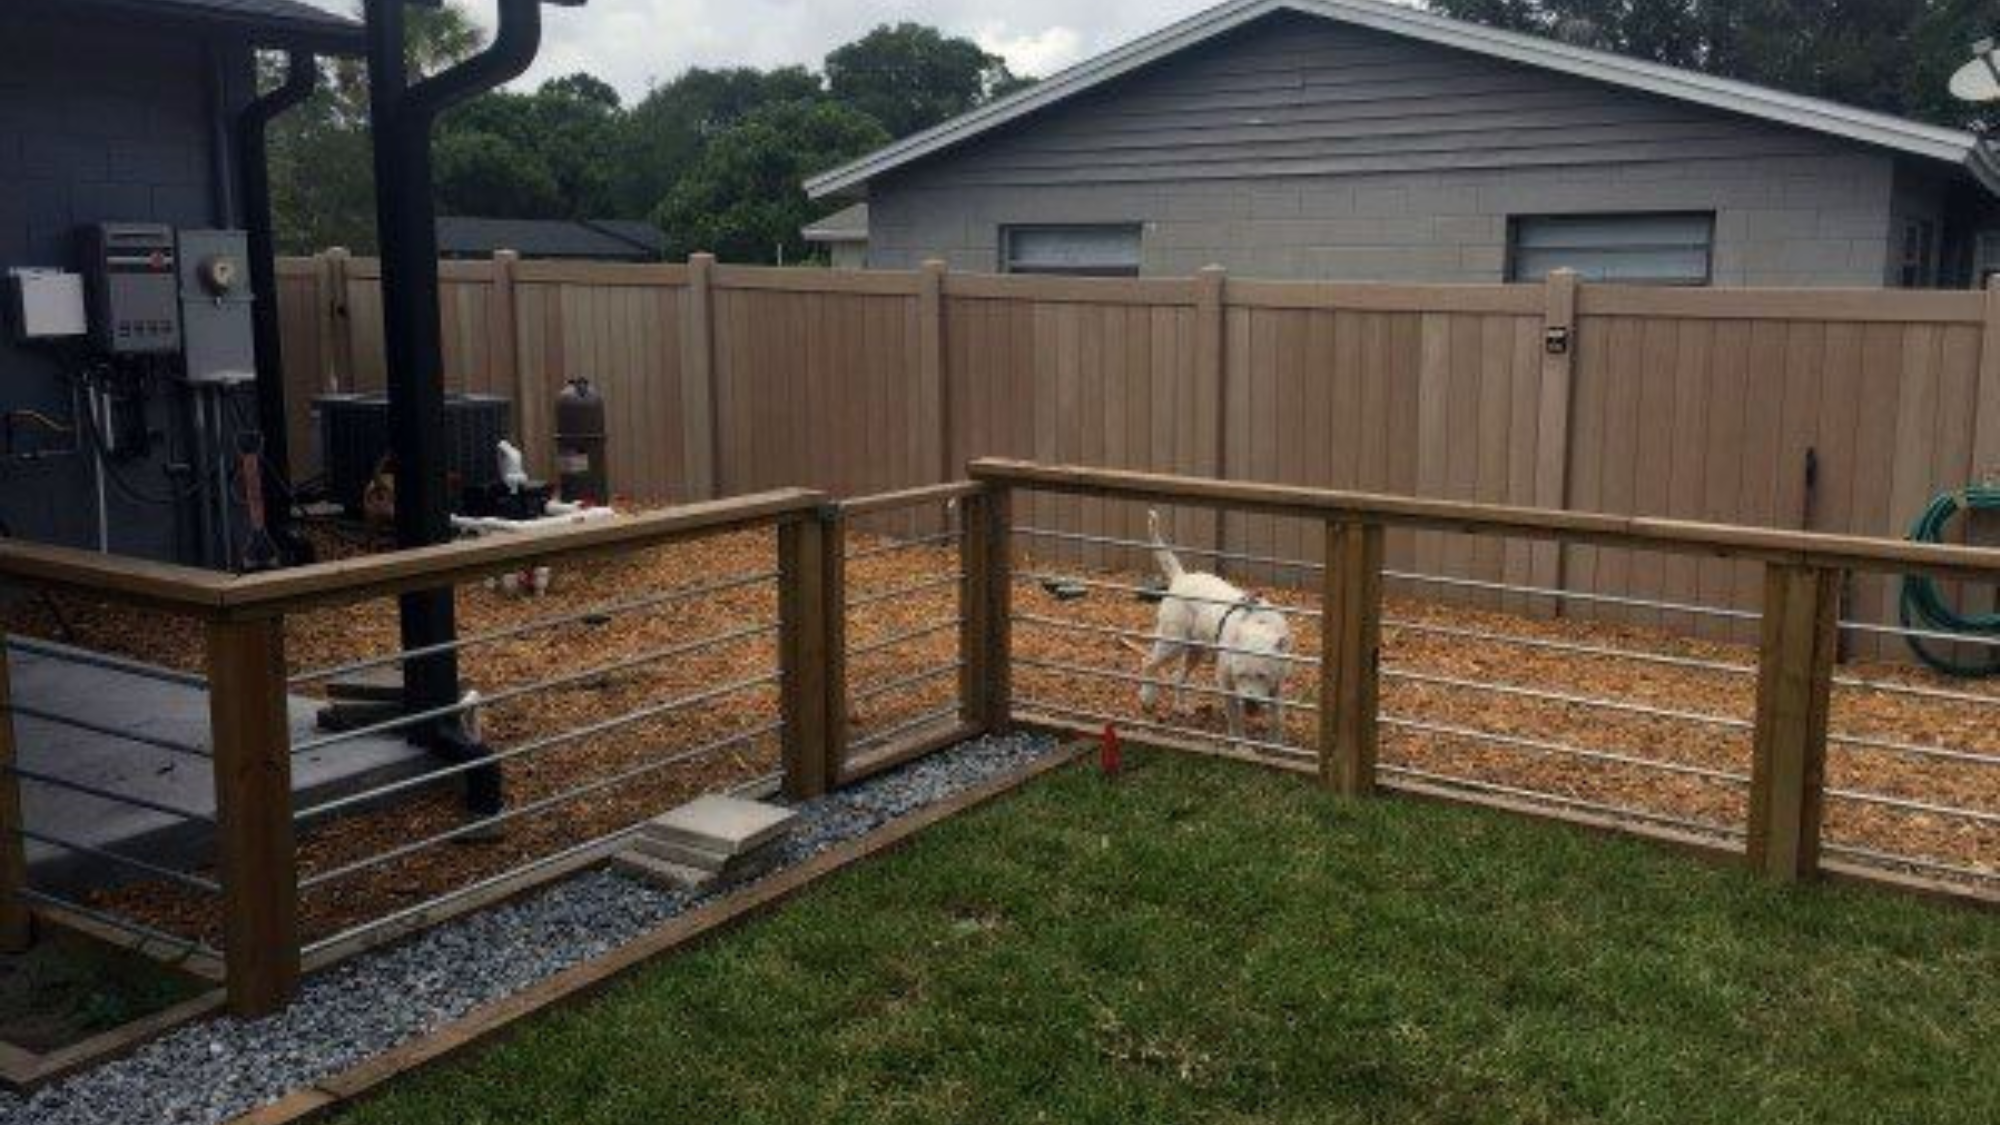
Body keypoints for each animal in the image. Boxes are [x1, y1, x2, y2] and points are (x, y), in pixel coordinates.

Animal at [1144, 506, 1296, 736]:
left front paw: (1277, 741)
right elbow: (1236, 722)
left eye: (1262, 675)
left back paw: (1180, 707)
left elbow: (1277, 718)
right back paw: (1147, 698)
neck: (1258, 624)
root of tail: (1181, 577)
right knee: (1149, 664)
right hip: (1173, 643)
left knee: (1179, 676)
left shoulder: (1277, 686)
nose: (1250, 703)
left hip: (1195, 650)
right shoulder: (1227, 684)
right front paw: (1241, 743)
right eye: (1240, 675)